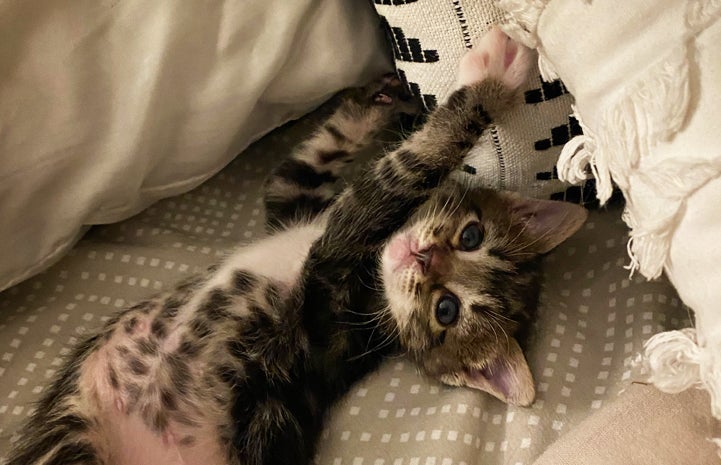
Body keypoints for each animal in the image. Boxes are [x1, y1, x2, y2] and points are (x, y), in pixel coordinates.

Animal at [4, 29, 584, 464]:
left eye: (446, 310)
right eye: (471, 236)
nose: (424, 258)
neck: (377, 290)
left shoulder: (333, 263)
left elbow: (405, 169)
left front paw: (495, 76)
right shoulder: (294, 203)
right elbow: (312, 156)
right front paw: (378, 96)